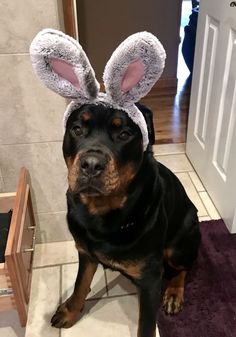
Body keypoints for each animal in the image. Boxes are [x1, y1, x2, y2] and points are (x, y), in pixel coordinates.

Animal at [50, 101, 201, 334]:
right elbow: (80, 284)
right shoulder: (85, 251)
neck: (102, 212)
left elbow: (146, 325)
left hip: (179, 244)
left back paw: (174, 293)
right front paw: (69, 311)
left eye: (124, 134)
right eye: (76, 129)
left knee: (184, 266)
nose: (91, 164)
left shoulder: (149, 279)